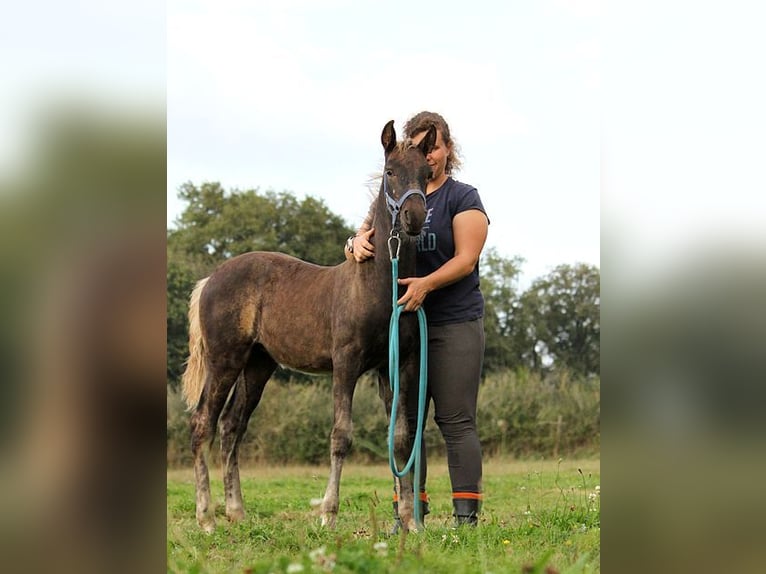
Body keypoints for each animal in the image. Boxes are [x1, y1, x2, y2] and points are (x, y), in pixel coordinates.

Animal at [177, 121, 436, 536]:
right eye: (390, 172)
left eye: (427, 174)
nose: (413, 218)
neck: (376, 286)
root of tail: (210, 279)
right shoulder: (346, 363)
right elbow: (341, 434)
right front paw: (328, 513)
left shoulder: (397, 364)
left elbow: (400, 438)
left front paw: (411, 521)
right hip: (224, 360)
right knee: (203, 422)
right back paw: (207, 517)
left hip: (258, 364)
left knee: (232, 426)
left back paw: (236, 511)